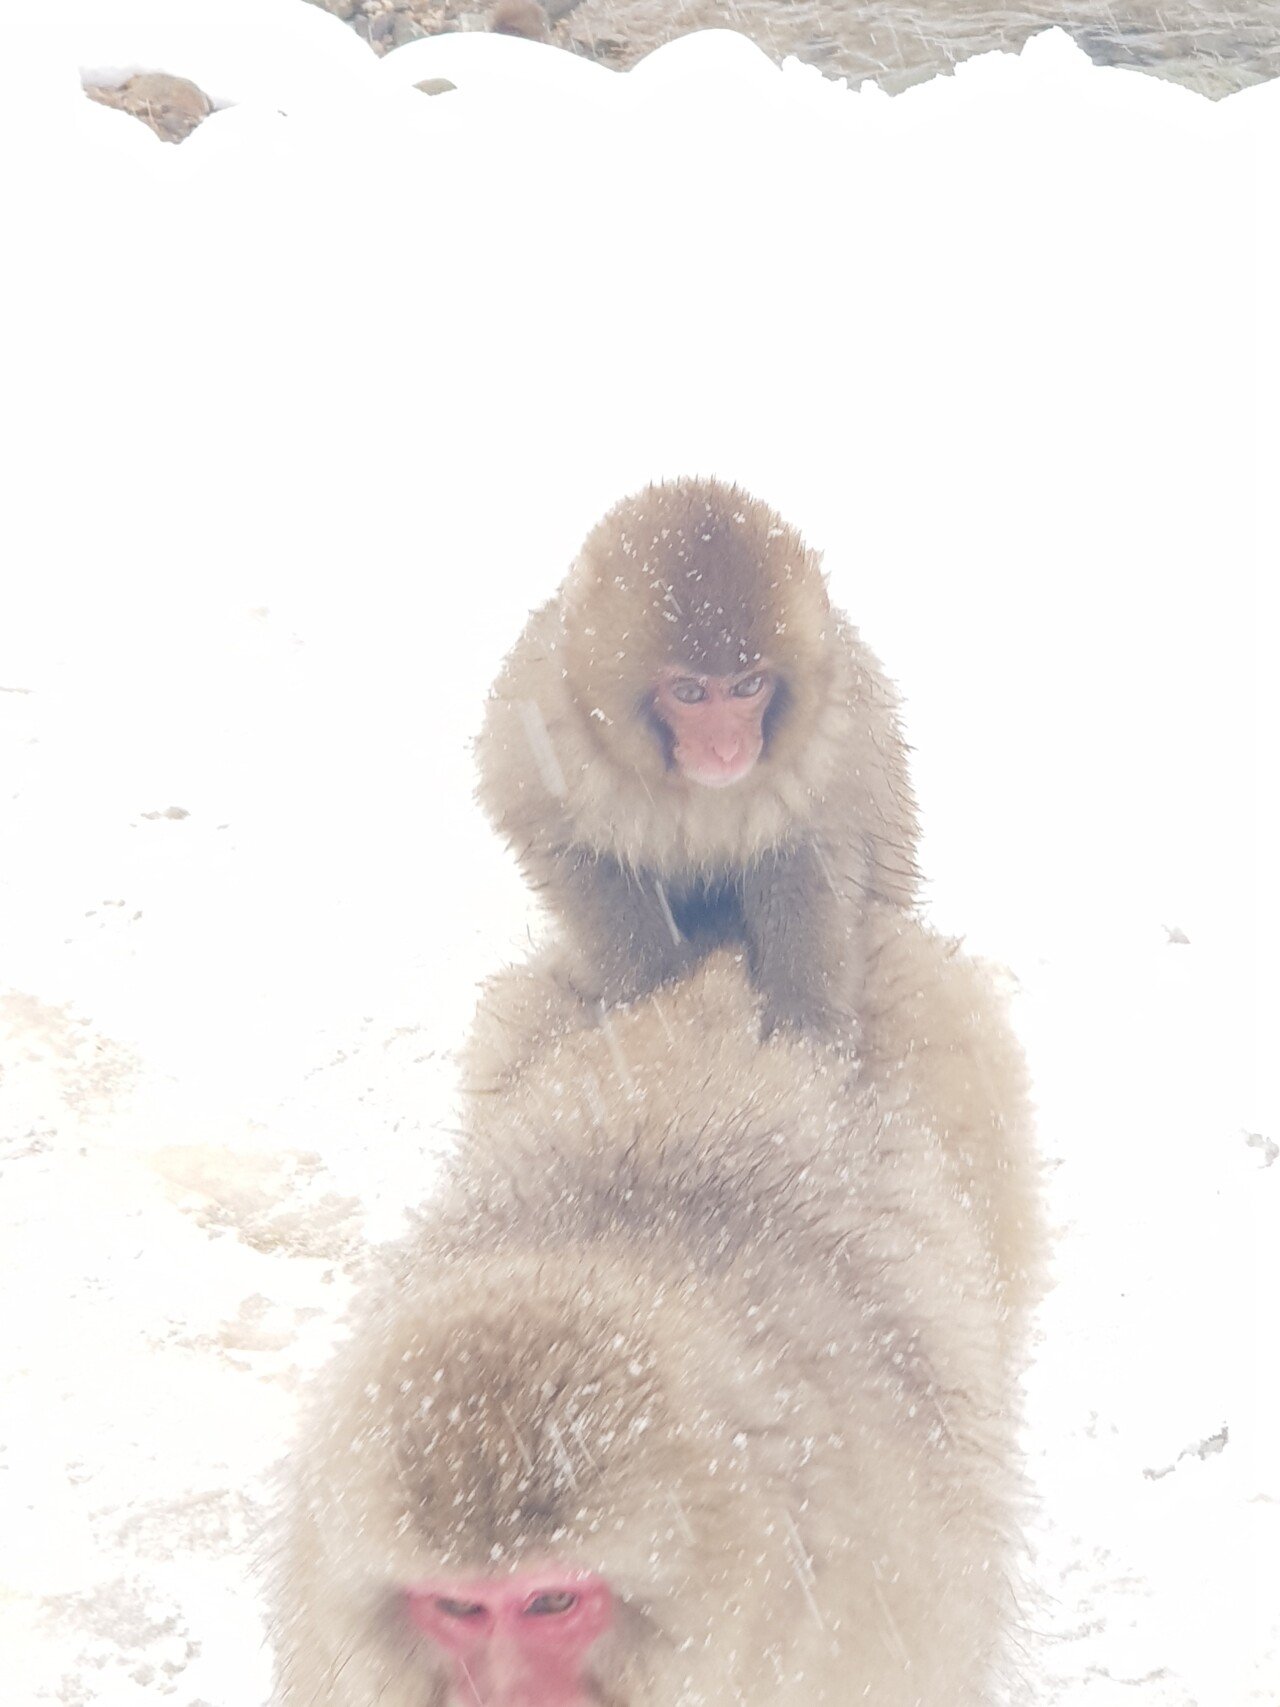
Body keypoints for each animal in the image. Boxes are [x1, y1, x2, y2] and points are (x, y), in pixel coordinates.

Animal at [477, 477, 914, 1037]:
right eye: (689, 692)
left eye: (748, 686)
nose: (726, 748)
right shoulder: (544, 722)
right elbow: (569, 844)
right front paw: (653, 990)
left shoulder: (840, 734)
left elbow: (814, 852)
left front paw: (805, 1017)